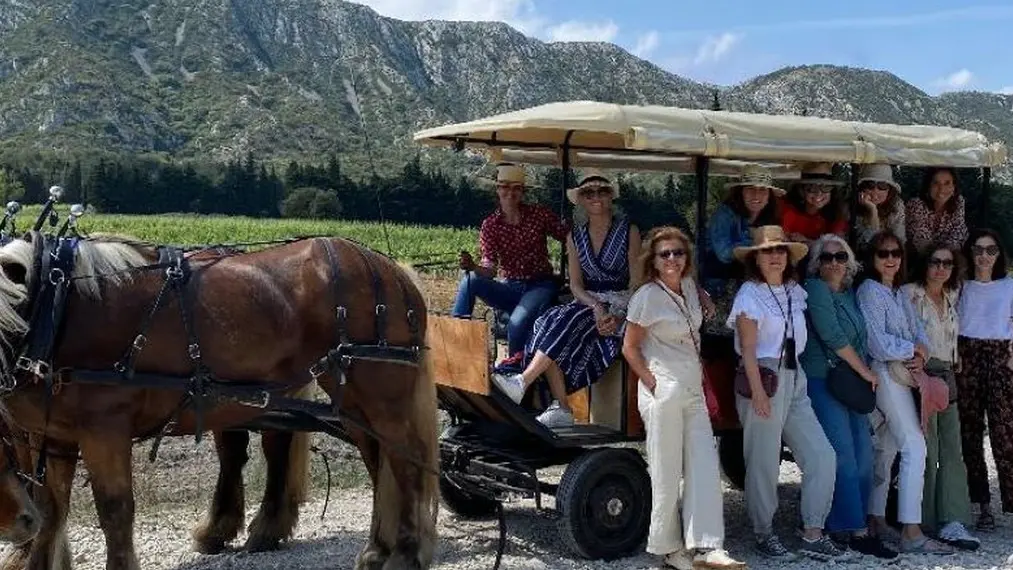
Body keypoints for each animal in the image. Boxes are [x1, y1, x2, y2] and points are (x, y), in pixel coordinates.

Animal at [0, 232, 435, 570]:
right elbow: (52, 509)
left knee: (407, 464)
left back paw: (405, 553)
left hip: (383, 396)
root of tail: (394, 270)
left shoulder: (104, 429)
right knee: (378, 462)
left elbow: (115, 511)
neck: (55, 309)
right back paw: (376, 549)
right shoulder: (53, 434)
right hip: (354, 402)